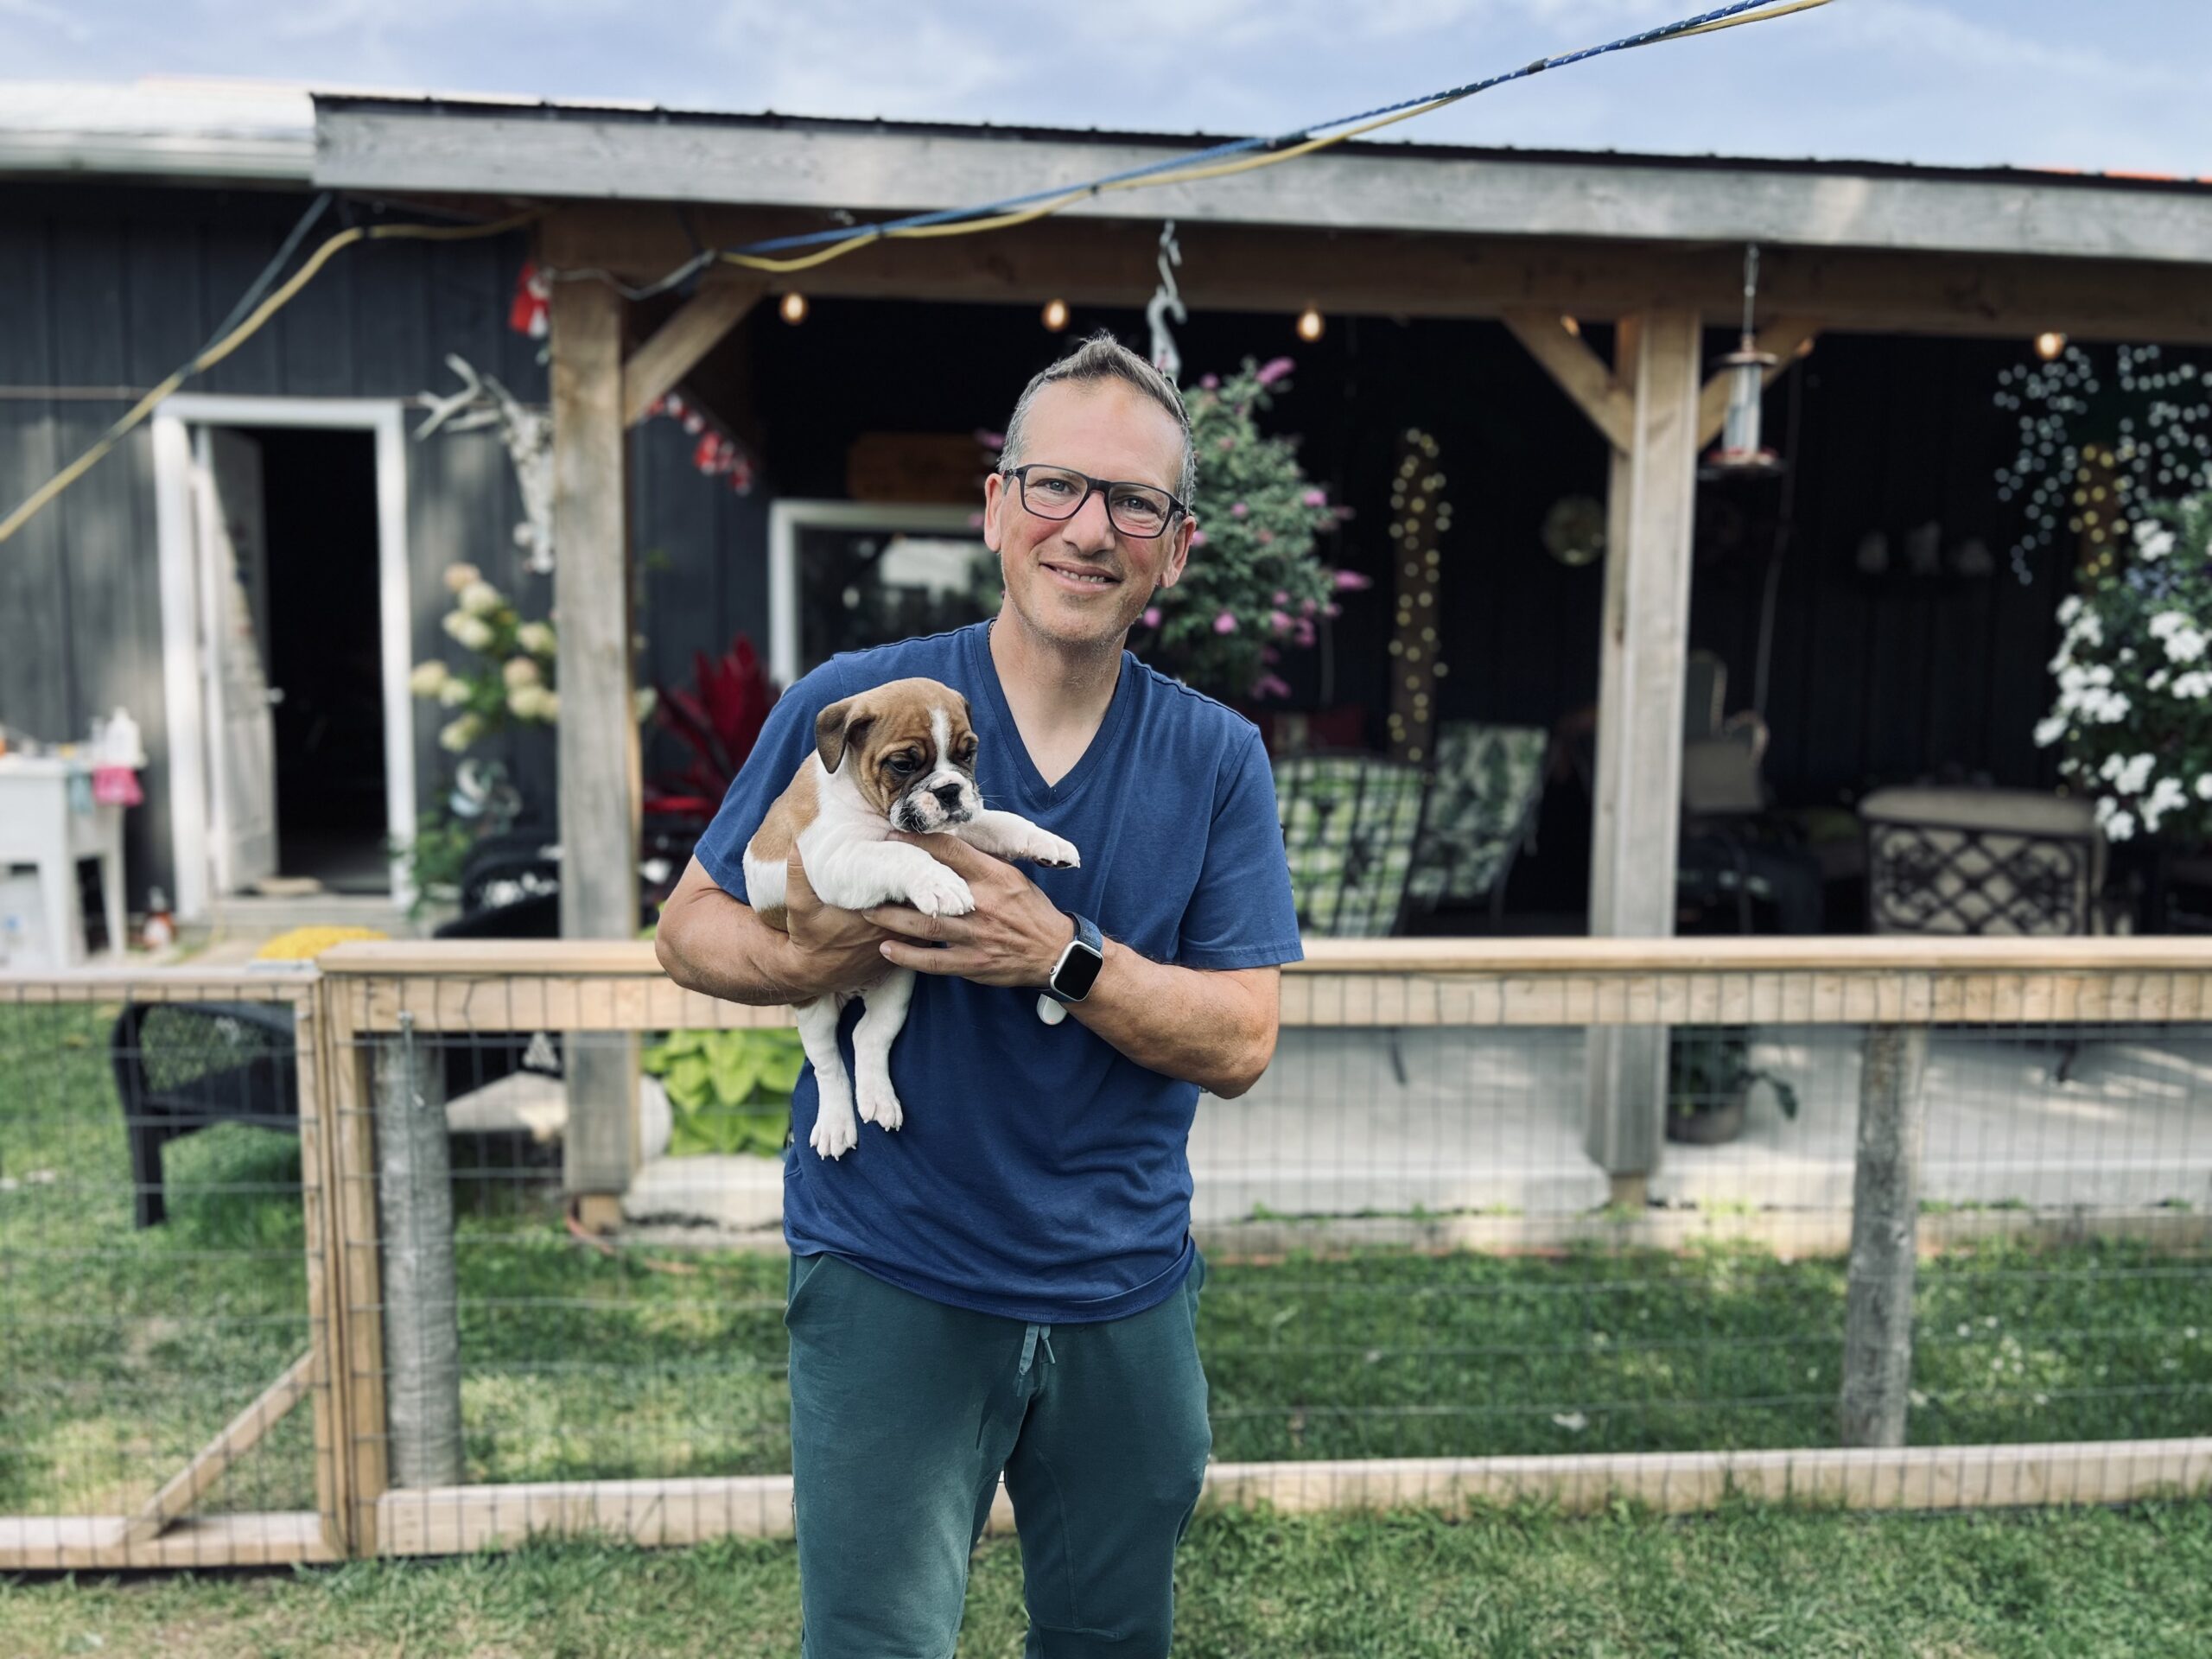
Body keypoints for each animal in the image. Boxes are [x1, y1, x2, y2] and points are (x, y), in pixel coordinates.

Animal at [743, 681, 1079, 1159]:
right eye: (903, 764)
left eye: (968, 754)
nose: (950, 791)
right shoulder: (834, 858)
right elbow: (899, 853)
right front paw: (940, 883)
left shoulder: (963, 825)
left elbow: (1004, 822)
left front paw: (1048, 842)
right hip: (812, 1005)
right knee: (828, 1063)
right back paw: (836, 1124)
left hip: (898, 985)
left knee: (868, 1036)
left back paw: (879, 1100)